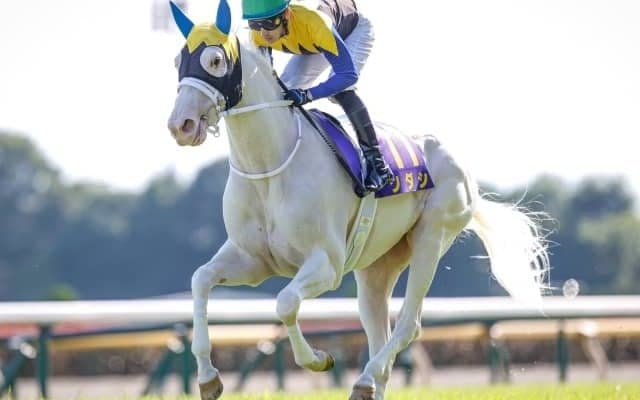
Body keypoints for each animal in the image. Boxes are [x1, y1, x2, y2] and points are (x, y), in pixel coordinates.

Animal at [166, 1, 549, 399]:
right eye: (178, 60)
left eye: (214, 60)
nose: (181, 125)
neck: (269, 167)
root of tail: (458, 163)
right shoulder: (253, 259)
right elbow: (200, 280)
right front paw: (208, 378)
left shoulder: (327, 263)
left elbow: (286, 303)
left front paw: (318, 359)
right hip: (378, 265)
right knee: (378, 325)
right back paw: (370, 382)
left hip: (432, 237)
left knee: (408, 324)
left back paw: (364, 379)